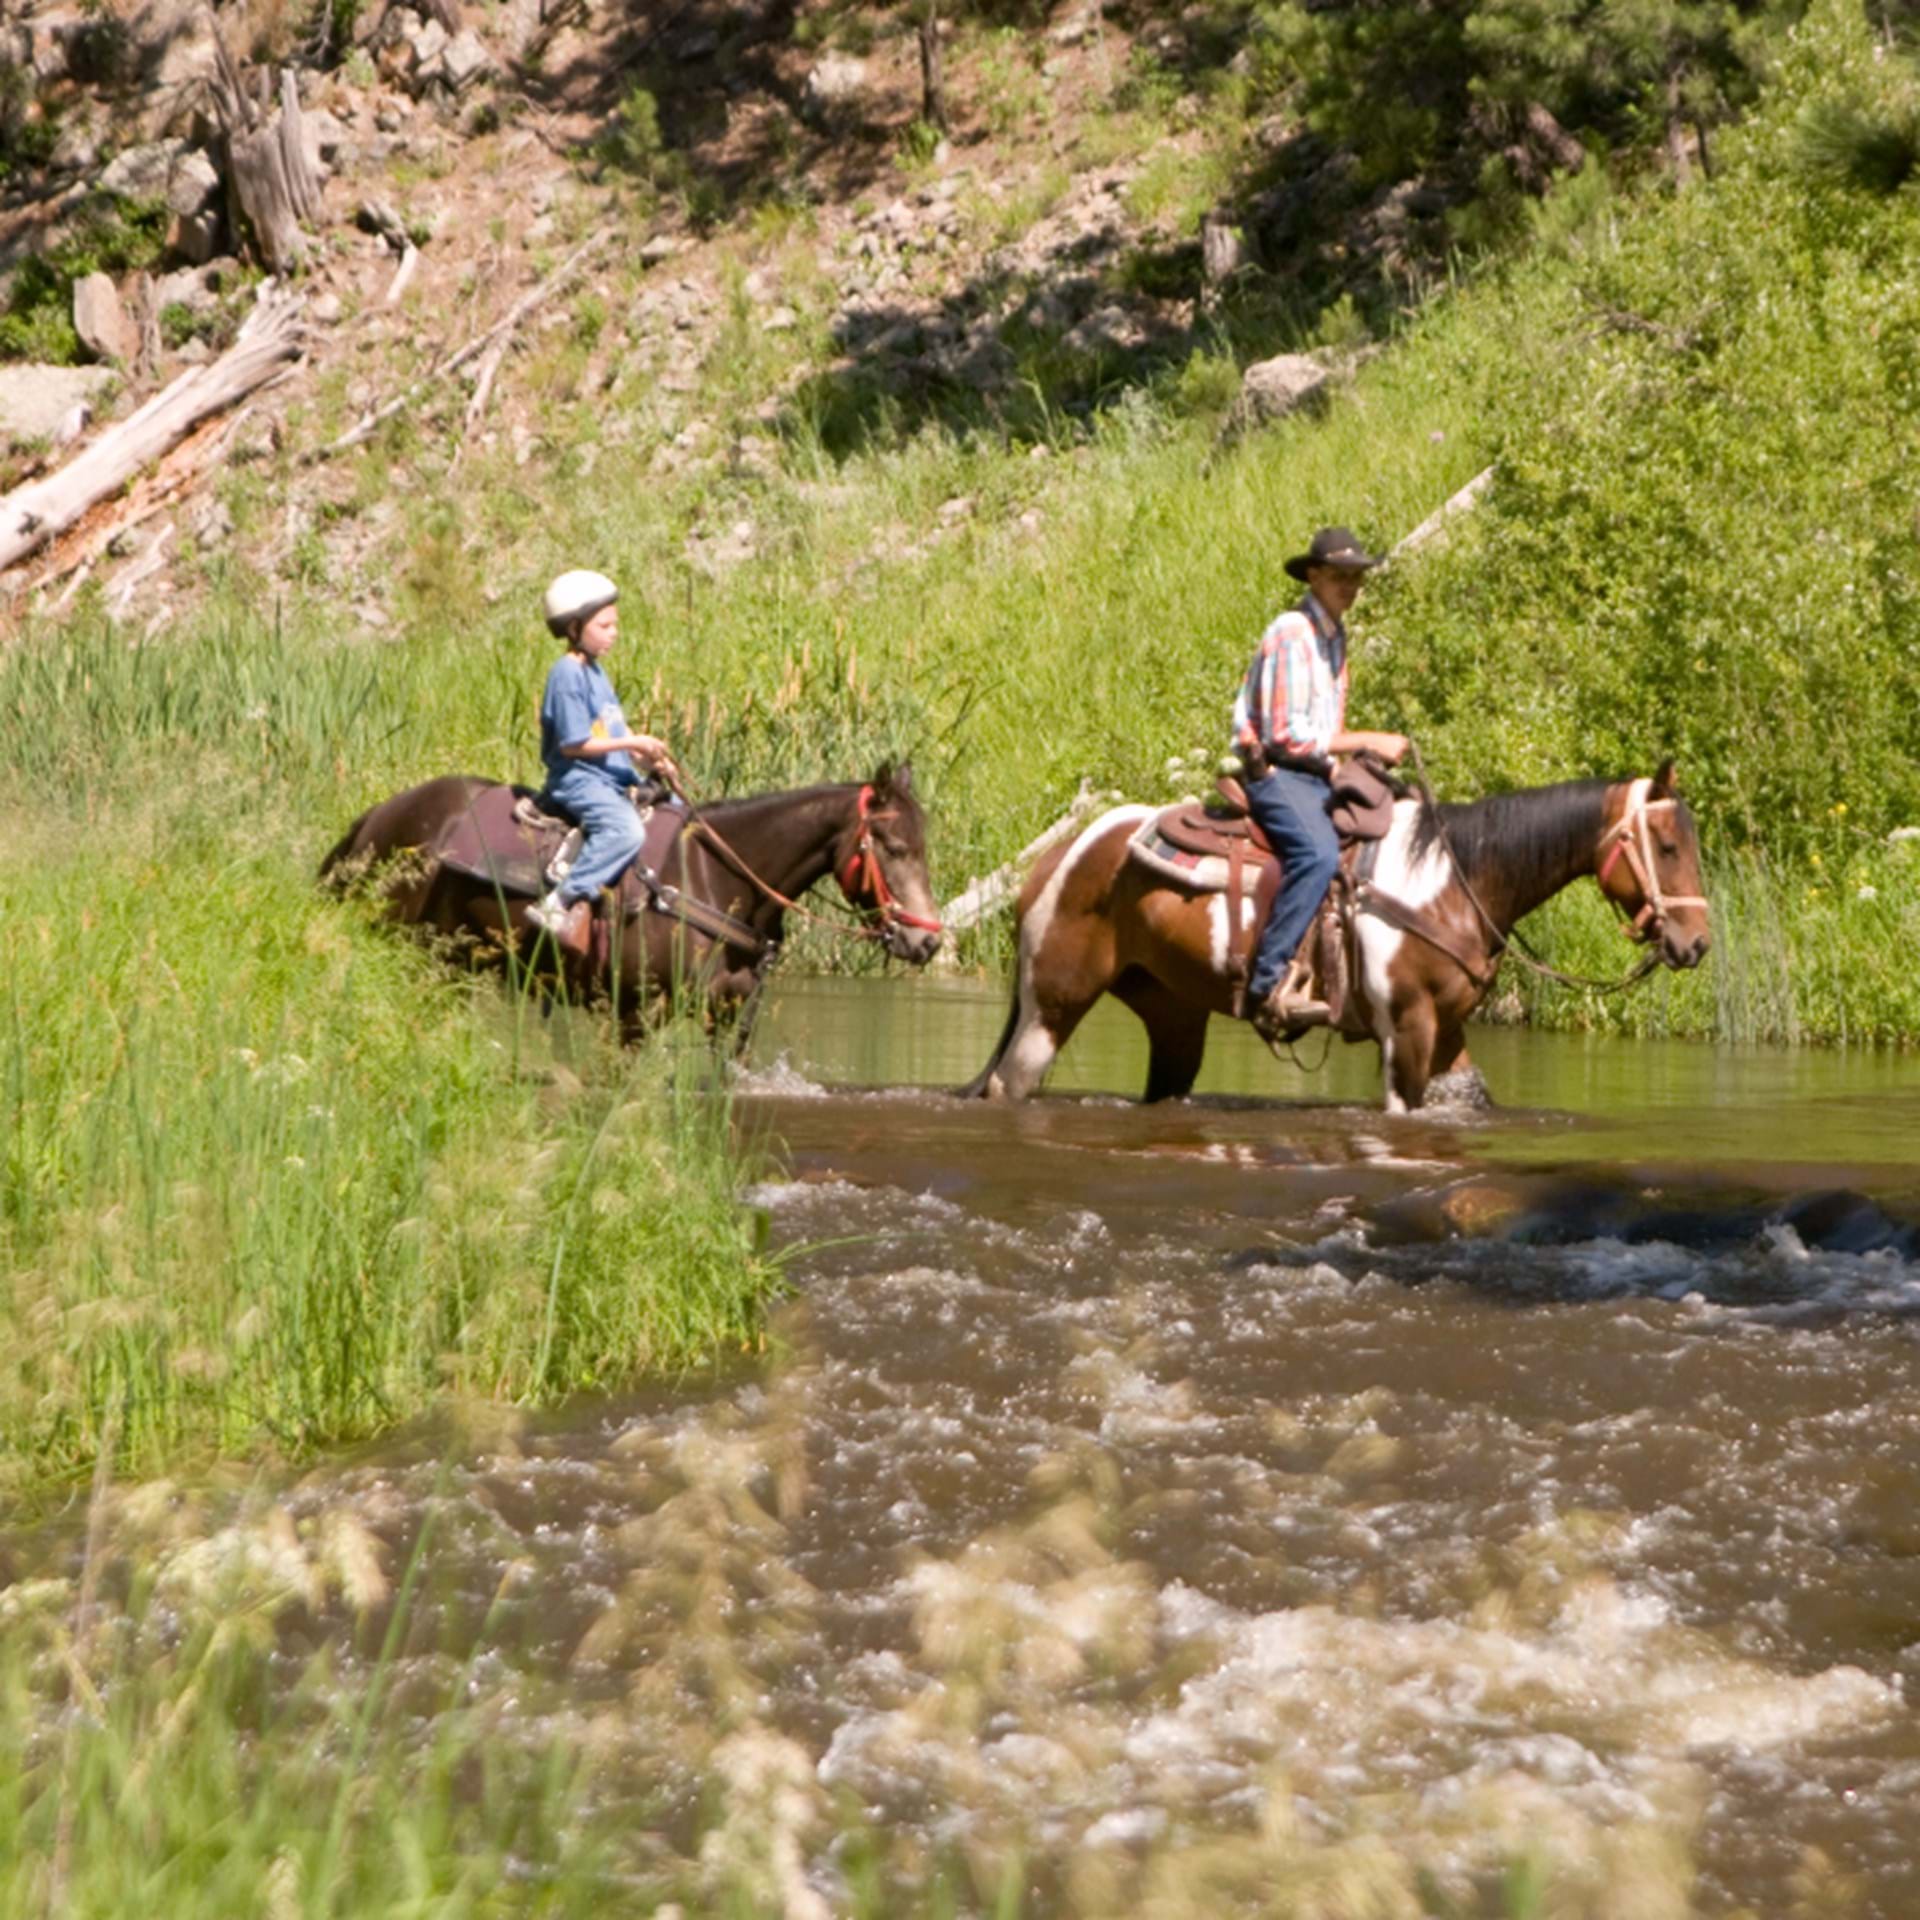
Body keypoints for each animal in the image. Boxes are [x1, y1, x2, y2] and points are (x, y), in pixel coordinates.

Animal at [320, 760, 942, 1039]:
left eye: (924, 846)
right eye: (891, 846)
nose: (927, 940)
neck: (718, 880)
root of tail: (377, 819)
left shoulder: (731, 1024)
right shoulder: (636, 1016)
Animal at [964, 760, 1711, 1113]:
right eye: (1668, 844)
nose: (1696, 943)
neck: (1448, 881)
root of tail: (1056, 858)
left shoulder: (1448, 1032)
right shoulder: (1405, 1030)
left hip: (1172, 1016)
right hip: (1051, 1007)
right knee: (1009, 1084)